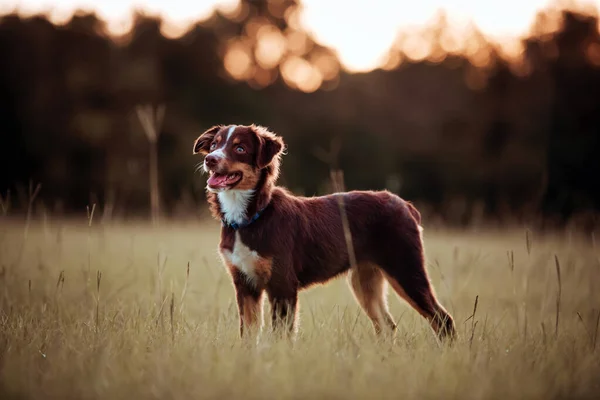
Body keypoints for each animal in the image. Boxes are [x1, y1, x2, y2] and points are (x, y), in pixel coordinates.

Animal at [192, 124, 454, 340]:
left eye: (240, 148)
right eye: (214, 145)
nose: (210, 160)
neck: (251, 217)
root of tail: (406, 205)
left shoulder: (282, 284)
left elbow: (280, 336)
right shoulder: (245, 284)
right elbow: (248, 335)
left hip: (406, 270)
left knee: (443, 320)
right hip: (365, 279)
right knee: (387, 326)